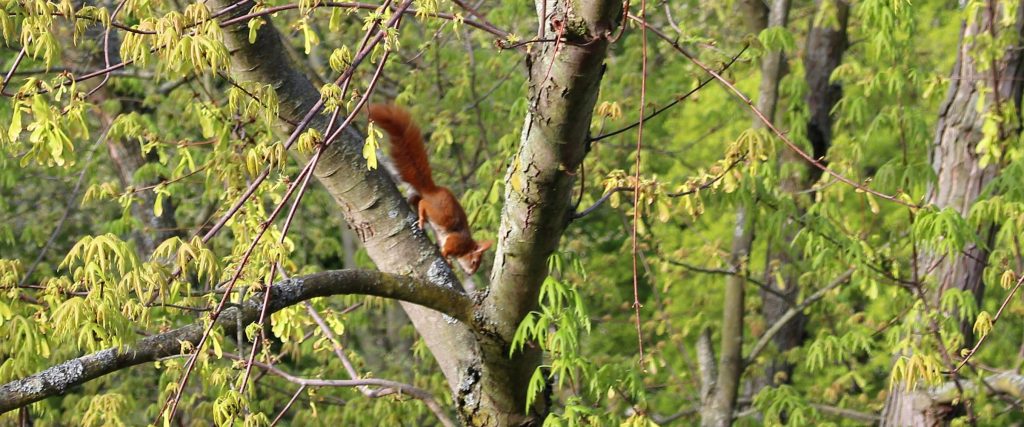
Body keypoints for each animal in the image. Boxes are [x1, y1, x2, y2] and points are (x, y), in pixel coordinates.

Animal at [368, 103, 492, 274]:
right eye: (474, 261)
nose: (471, 273)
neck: (466, 246)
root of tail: (432, 191)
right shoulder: (455, 242)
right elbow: (446, 250)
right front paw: (448, 260)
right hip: (438, 213)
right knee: (423, 205)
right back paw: (420, 219)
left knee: (417, 200)